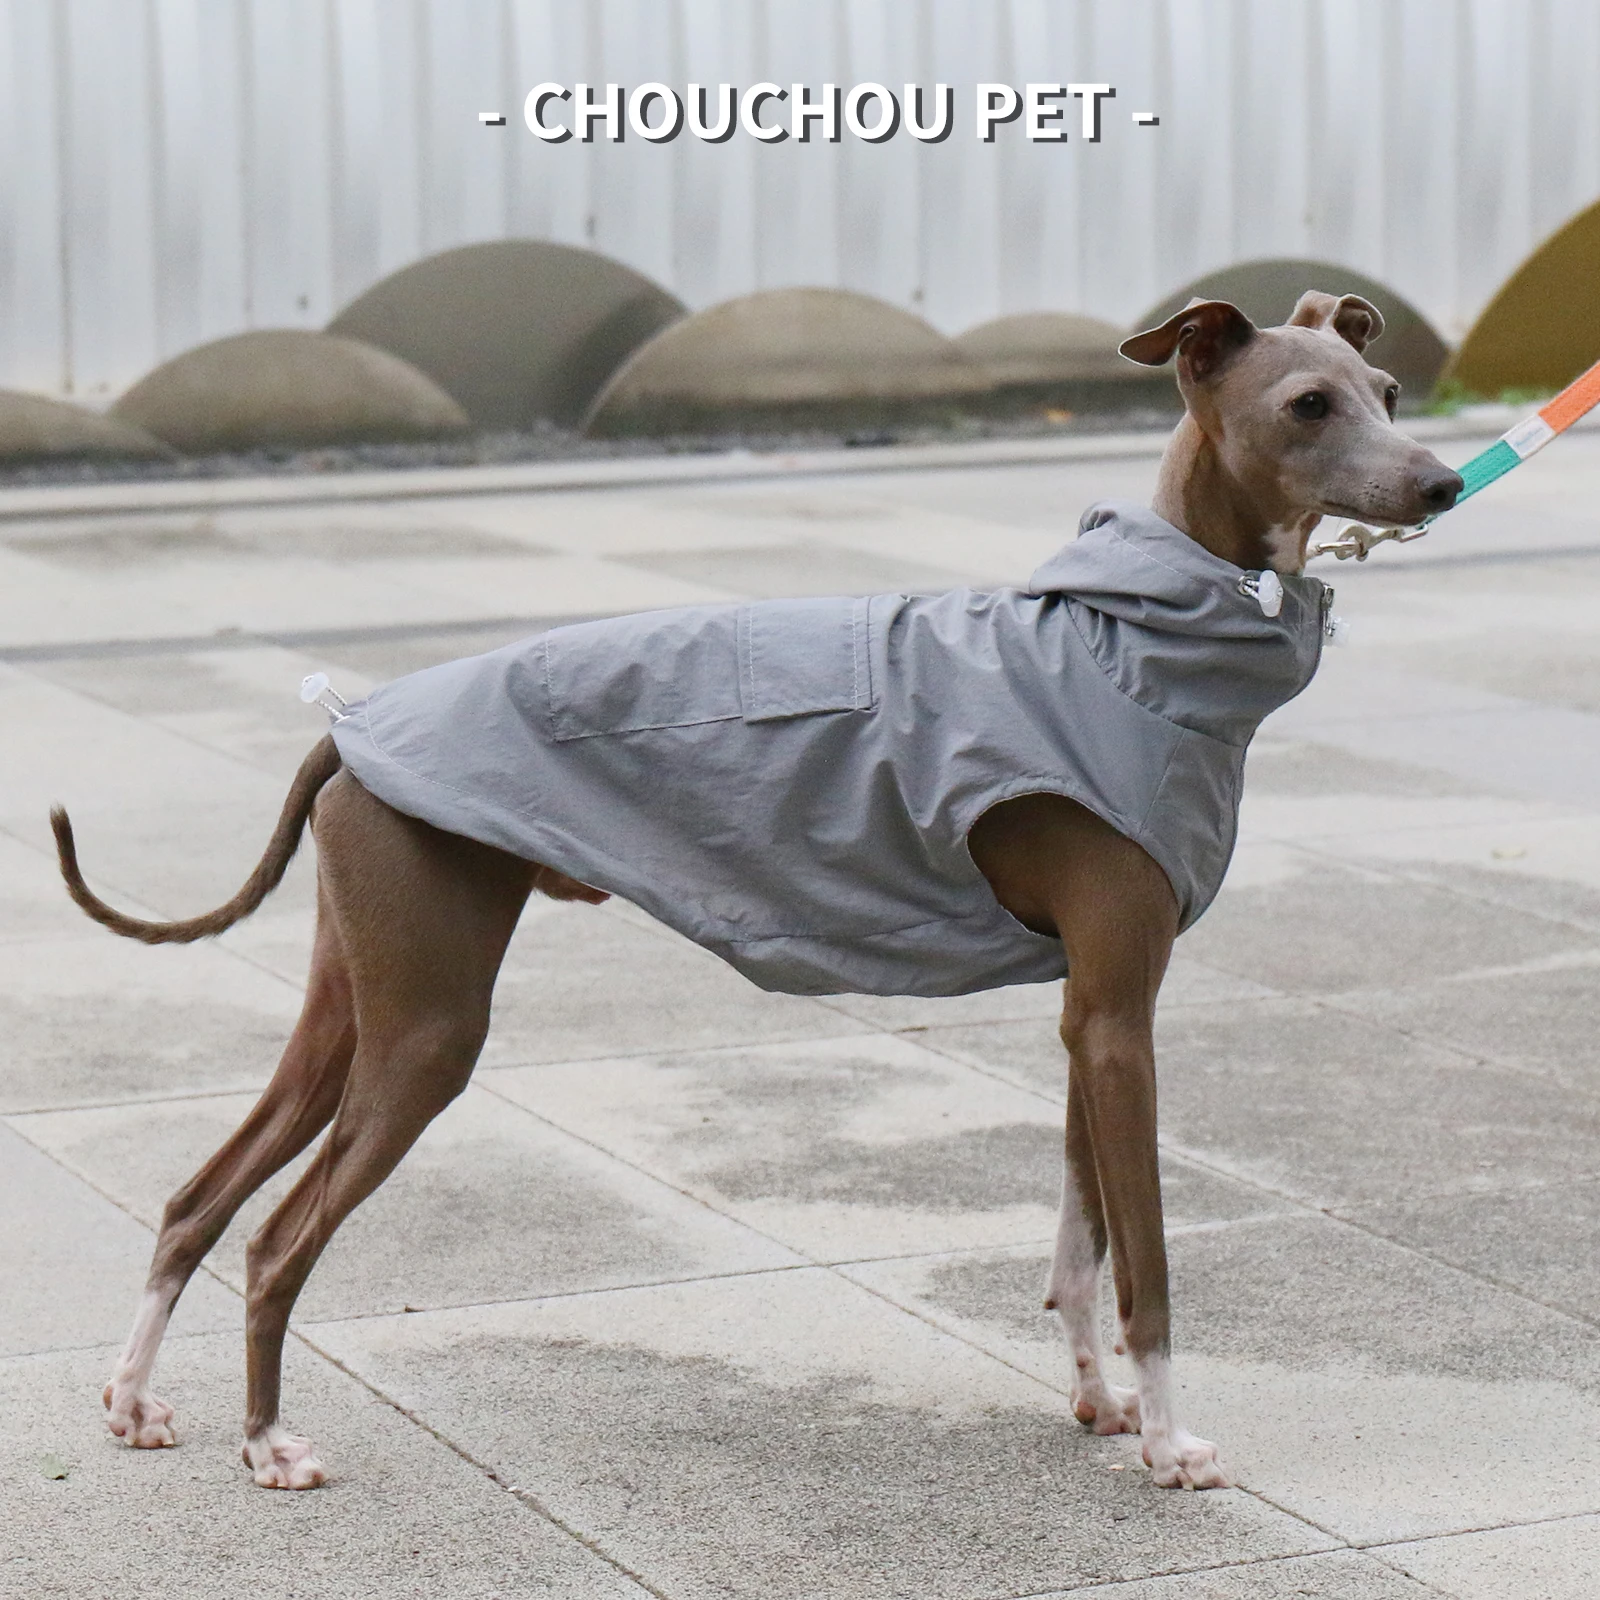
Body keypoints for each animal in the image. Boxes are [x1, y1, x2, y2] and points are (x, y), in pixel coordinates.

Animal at [50, 291, 1461, 1492]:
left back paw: (133, 1401)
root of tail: (347, 731)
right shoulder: (1118, 1020)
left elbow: (1080, 1237)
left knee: (196, 1199)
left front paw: (1099, 1405)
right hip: (428, 1027)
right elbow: (1148, 1262)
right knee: (276, 1238)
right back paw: (268, 1444)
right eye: (1308, 406)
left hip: (353, 1004)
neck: (1120, 640)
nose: (1440, 480)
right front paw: (1168, 1445)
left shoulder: (1091, 1012)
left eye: (1388, 389)